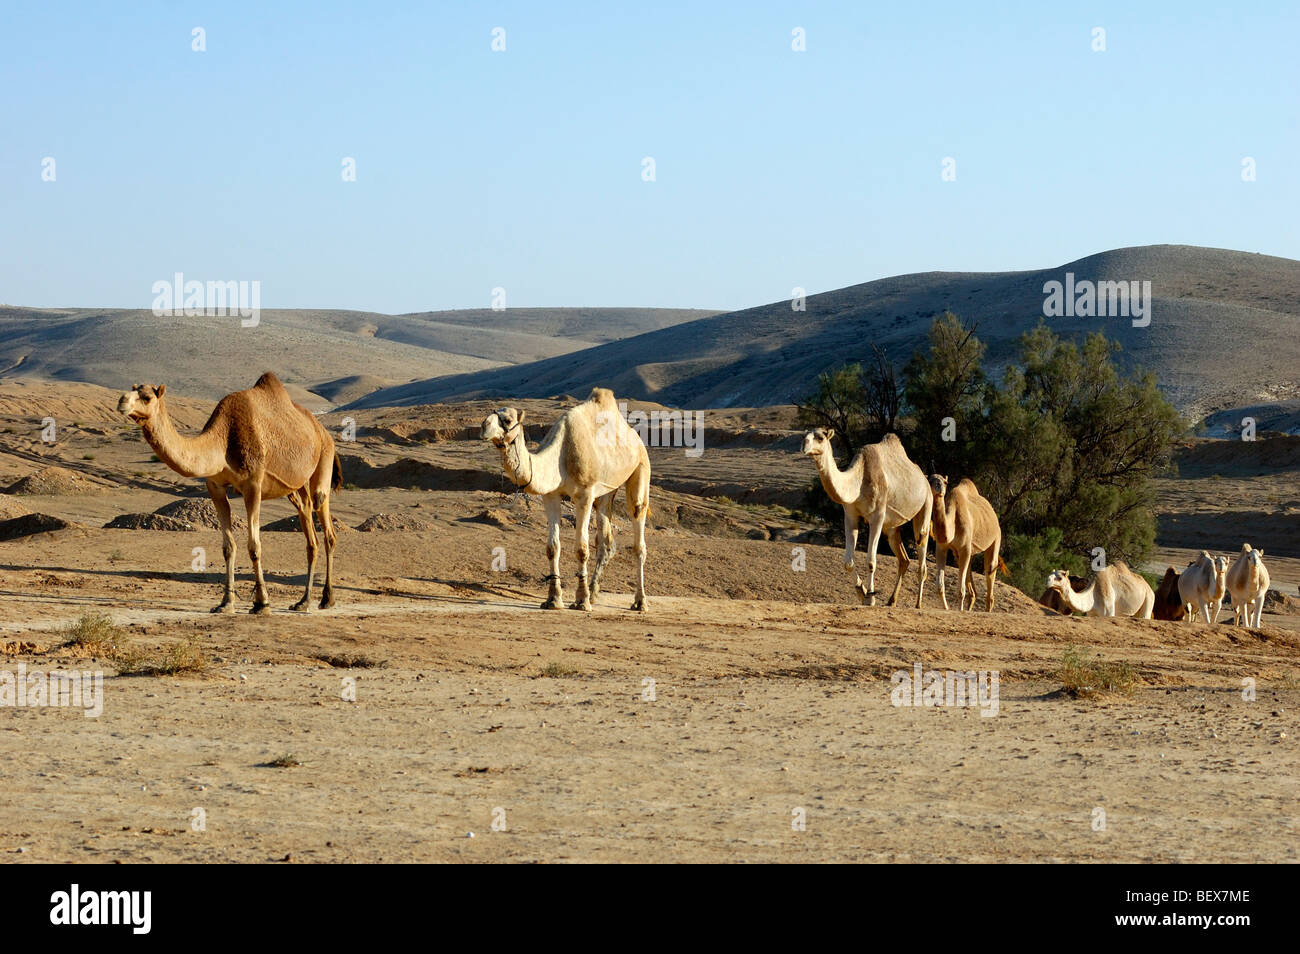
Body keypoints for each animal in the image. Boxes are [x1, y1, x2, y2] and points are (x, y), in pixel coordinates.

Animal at [118, 372, 341, 614]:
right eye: (132, 390)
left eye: (147, 397)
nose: (121, 401)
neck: (223, 441)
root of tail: (323, 431)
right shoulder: (214, 485)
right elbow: (228, 547)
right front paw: (226, 602)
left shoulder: (253, 484)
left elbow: (254, 546)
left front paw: (262, 603)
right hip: (296, 487)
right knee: (310, 532)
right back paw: (303, 601)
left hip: (323, 462)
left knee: (327, 527)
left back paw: (326, 599)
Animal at [481, 388, 650, 612]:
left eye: (507, 420)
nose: (483, 426)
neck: (559, 458)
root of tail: (635, 438)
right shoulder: (550, 496)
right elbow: (552, 547)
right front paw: (553, 599)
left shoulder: (584, 495)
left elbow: (581, 549)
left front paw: (581, 600)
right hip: (606, 491)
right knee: (606, 540)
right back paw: (594, 592)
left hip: (641, 466)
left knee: (638, 525)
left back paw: (640, 602)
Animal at [801, 429, 931, 608]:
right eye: (804, 435)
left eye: (820, 437)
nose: (804, 445)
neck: (858, 483)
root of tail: (925, 479)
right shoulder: (850, 515)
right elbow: (847, 562)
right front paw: (861, 592)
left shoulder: (877, 516)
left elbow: (871, 561)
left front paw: (870, 597)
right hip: (892, 527)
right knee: (903, 558)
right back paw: (891, 601)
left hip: (926, 504)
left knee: (921, 546)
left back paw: (918, 604)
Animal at [927, 474, 1006, 611]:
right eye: (931, 480)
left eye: (945, 482)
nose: (939, 486)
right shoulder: (941, 546)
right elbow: (940, 586)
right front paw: (947, 608)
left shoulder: (964, 548)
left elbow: (961, 590)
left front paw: (960, 610)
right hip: (967, 552)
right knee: (972, 587)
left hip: (996, 537)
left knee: (990, 569)